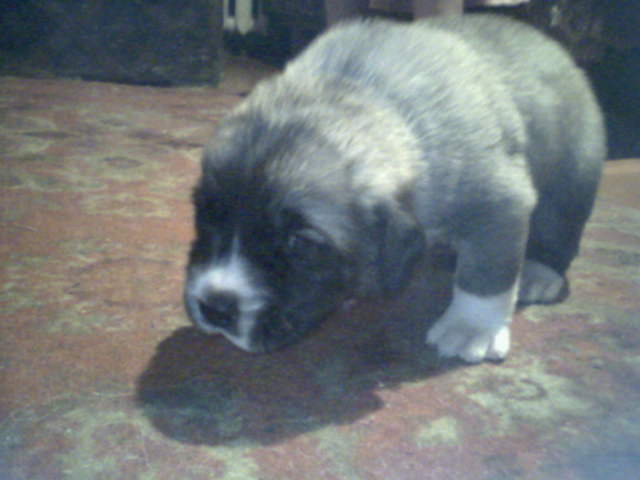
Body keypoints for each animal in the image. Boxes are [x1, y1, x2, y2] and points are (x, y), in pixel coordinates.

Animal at [184, 14, 605, 362]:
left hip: (572, 177)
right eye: (205, 218)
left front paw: (472, 328)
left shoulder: (498, 201)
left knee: (558, 230)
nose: (215, 307)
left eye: (300, 244)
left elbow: (488, 272)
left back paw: (539, 273)